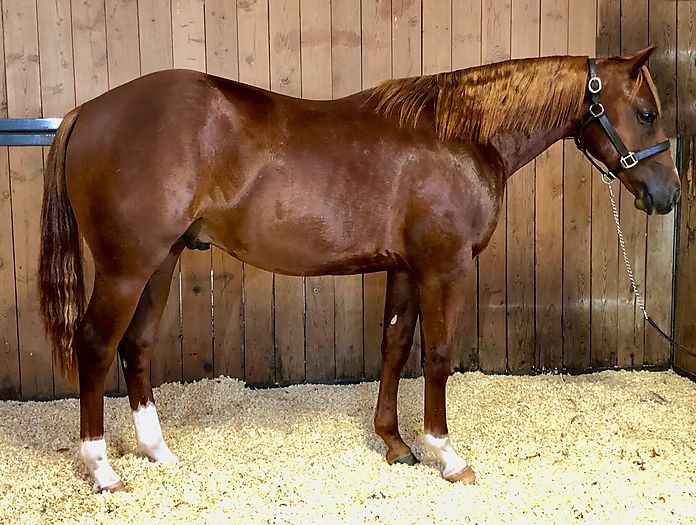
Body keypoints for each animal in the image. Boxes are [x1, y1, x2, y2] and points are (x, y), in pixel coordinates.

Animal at [39, 45, 679, 492]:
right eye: (647, 113)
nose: (669, 194)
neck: (462, 136)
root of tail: (89, 110)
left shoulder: (405, 269)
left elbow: (395, 348)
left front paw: (395, 444)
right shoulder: (444, 268)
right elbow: (438, 355)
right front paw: (448, 456)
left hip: (161, 262)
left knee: (136, 345)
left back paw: (158, 452)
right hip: (126, 268)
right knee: (96, 345)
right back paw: (103, 469)